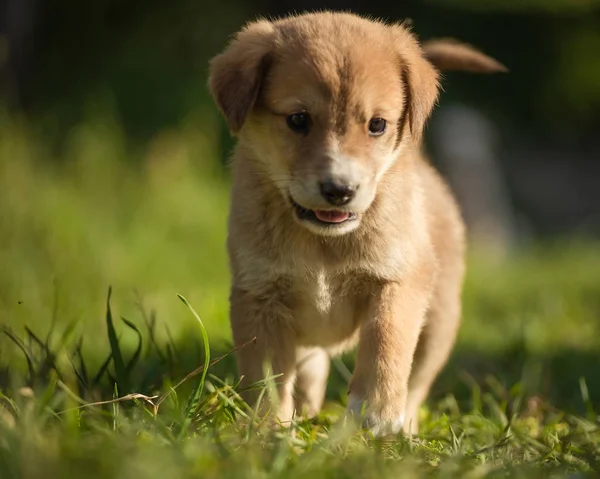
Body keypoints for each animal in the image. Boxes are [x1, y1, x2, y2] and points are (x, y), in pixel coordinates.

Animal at [209, 11, 504, 438]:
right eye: (298, 119)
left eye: (377, 124)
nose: (340, 190)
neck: (323, 245)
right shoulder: (258, 294)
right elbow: (265, 374)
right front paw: (266, 429)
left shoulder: (398, 280)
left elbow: (387, 340)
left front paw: (375, 414)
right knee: (310, 370)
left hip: (440, 322)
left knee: (416, 383)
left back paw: (404, 429)